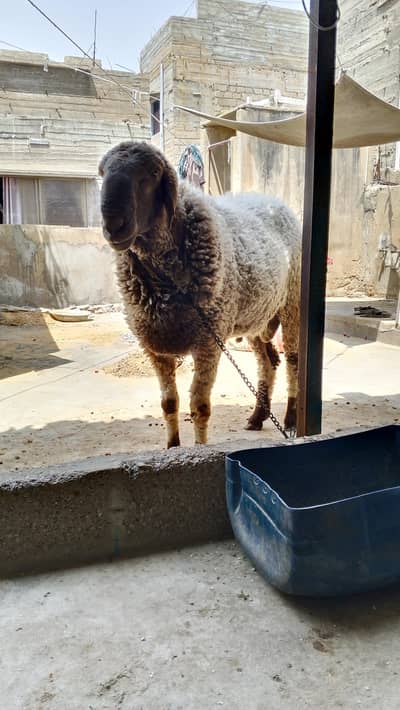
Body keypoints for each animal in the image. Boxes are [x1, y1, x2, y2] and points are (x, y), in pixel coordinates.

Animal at [99, 141, 301, 448]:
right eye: (102, 172)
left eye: (153, 173)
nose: (113, 224)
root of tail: (273, 201)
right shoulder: (155, 347)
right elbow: (169, 404)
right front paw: (172, 448)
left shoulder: (208, 342)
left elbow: (200, 406)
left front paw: (199, 449)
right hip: (257, 316)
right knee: (267, 363)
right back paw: (257, 417)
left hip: (293, 304)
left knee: (292, 361)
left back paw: (290, 419)